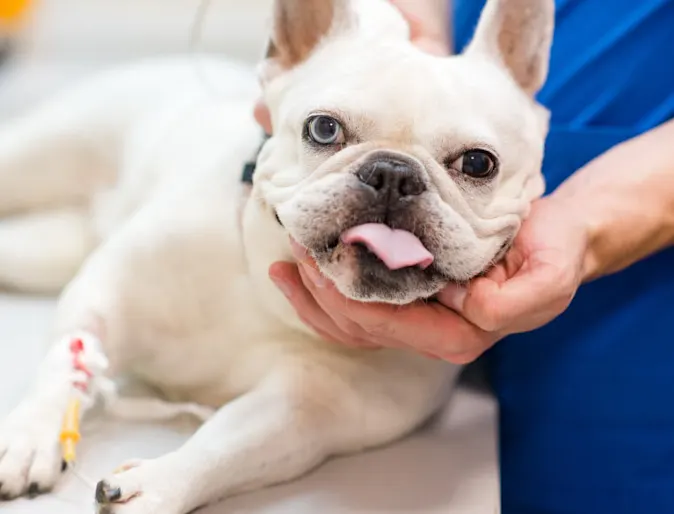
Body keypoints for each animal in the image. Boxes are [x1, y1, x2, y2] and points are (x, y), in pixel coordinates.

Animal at [0, 1, 552, 508]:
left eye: (478, 163)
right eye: (324, 129)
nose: (394, 173)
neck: (266, 293)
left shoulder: (304, 409)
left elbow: (227, 444)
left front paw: (156, 485)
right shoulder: (109, 295)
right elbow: (67, 358)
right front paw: (30, 437)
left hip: (45, 249)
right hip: (46, 153)